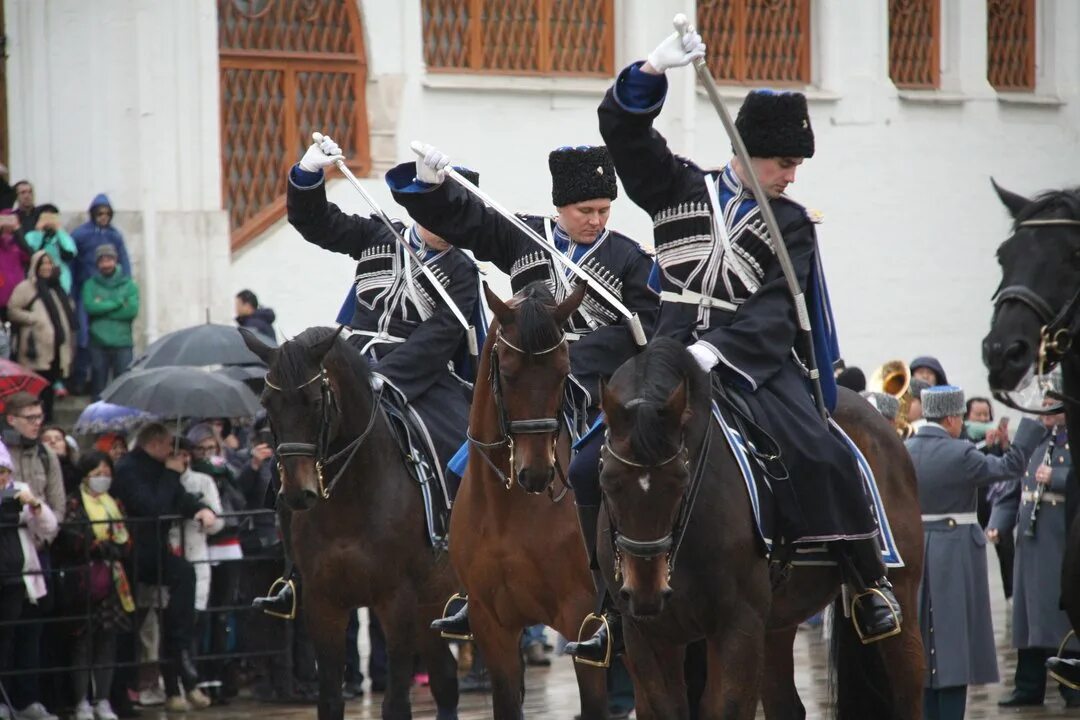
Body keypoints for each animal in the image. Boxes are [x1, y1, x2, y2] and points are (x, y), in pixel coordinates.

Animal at [240, 330, 460, 720]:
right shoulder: (323, 603)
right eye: (267, 402)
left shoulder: (398, 601)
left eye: (315, 401)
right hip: (433, 603)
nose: (297, 493)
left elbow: (396, 704)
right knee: (446, 681)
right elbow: (329, 700)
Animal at [449, 280, 617, 720]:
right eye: (507, 372)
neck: (507, 513)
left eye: (562, 372)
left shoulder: (582, 621)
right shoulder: (493, 627)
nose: (537, 473)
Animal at [596, 338, 924, 720]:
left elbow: (726, 708)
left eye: (681, 479)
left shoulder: (737, 625)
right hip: (777, 621)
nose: (646, 593)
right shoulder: (647, 637)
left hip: (901, 596)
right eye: (608, 479)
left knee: (908, 687)